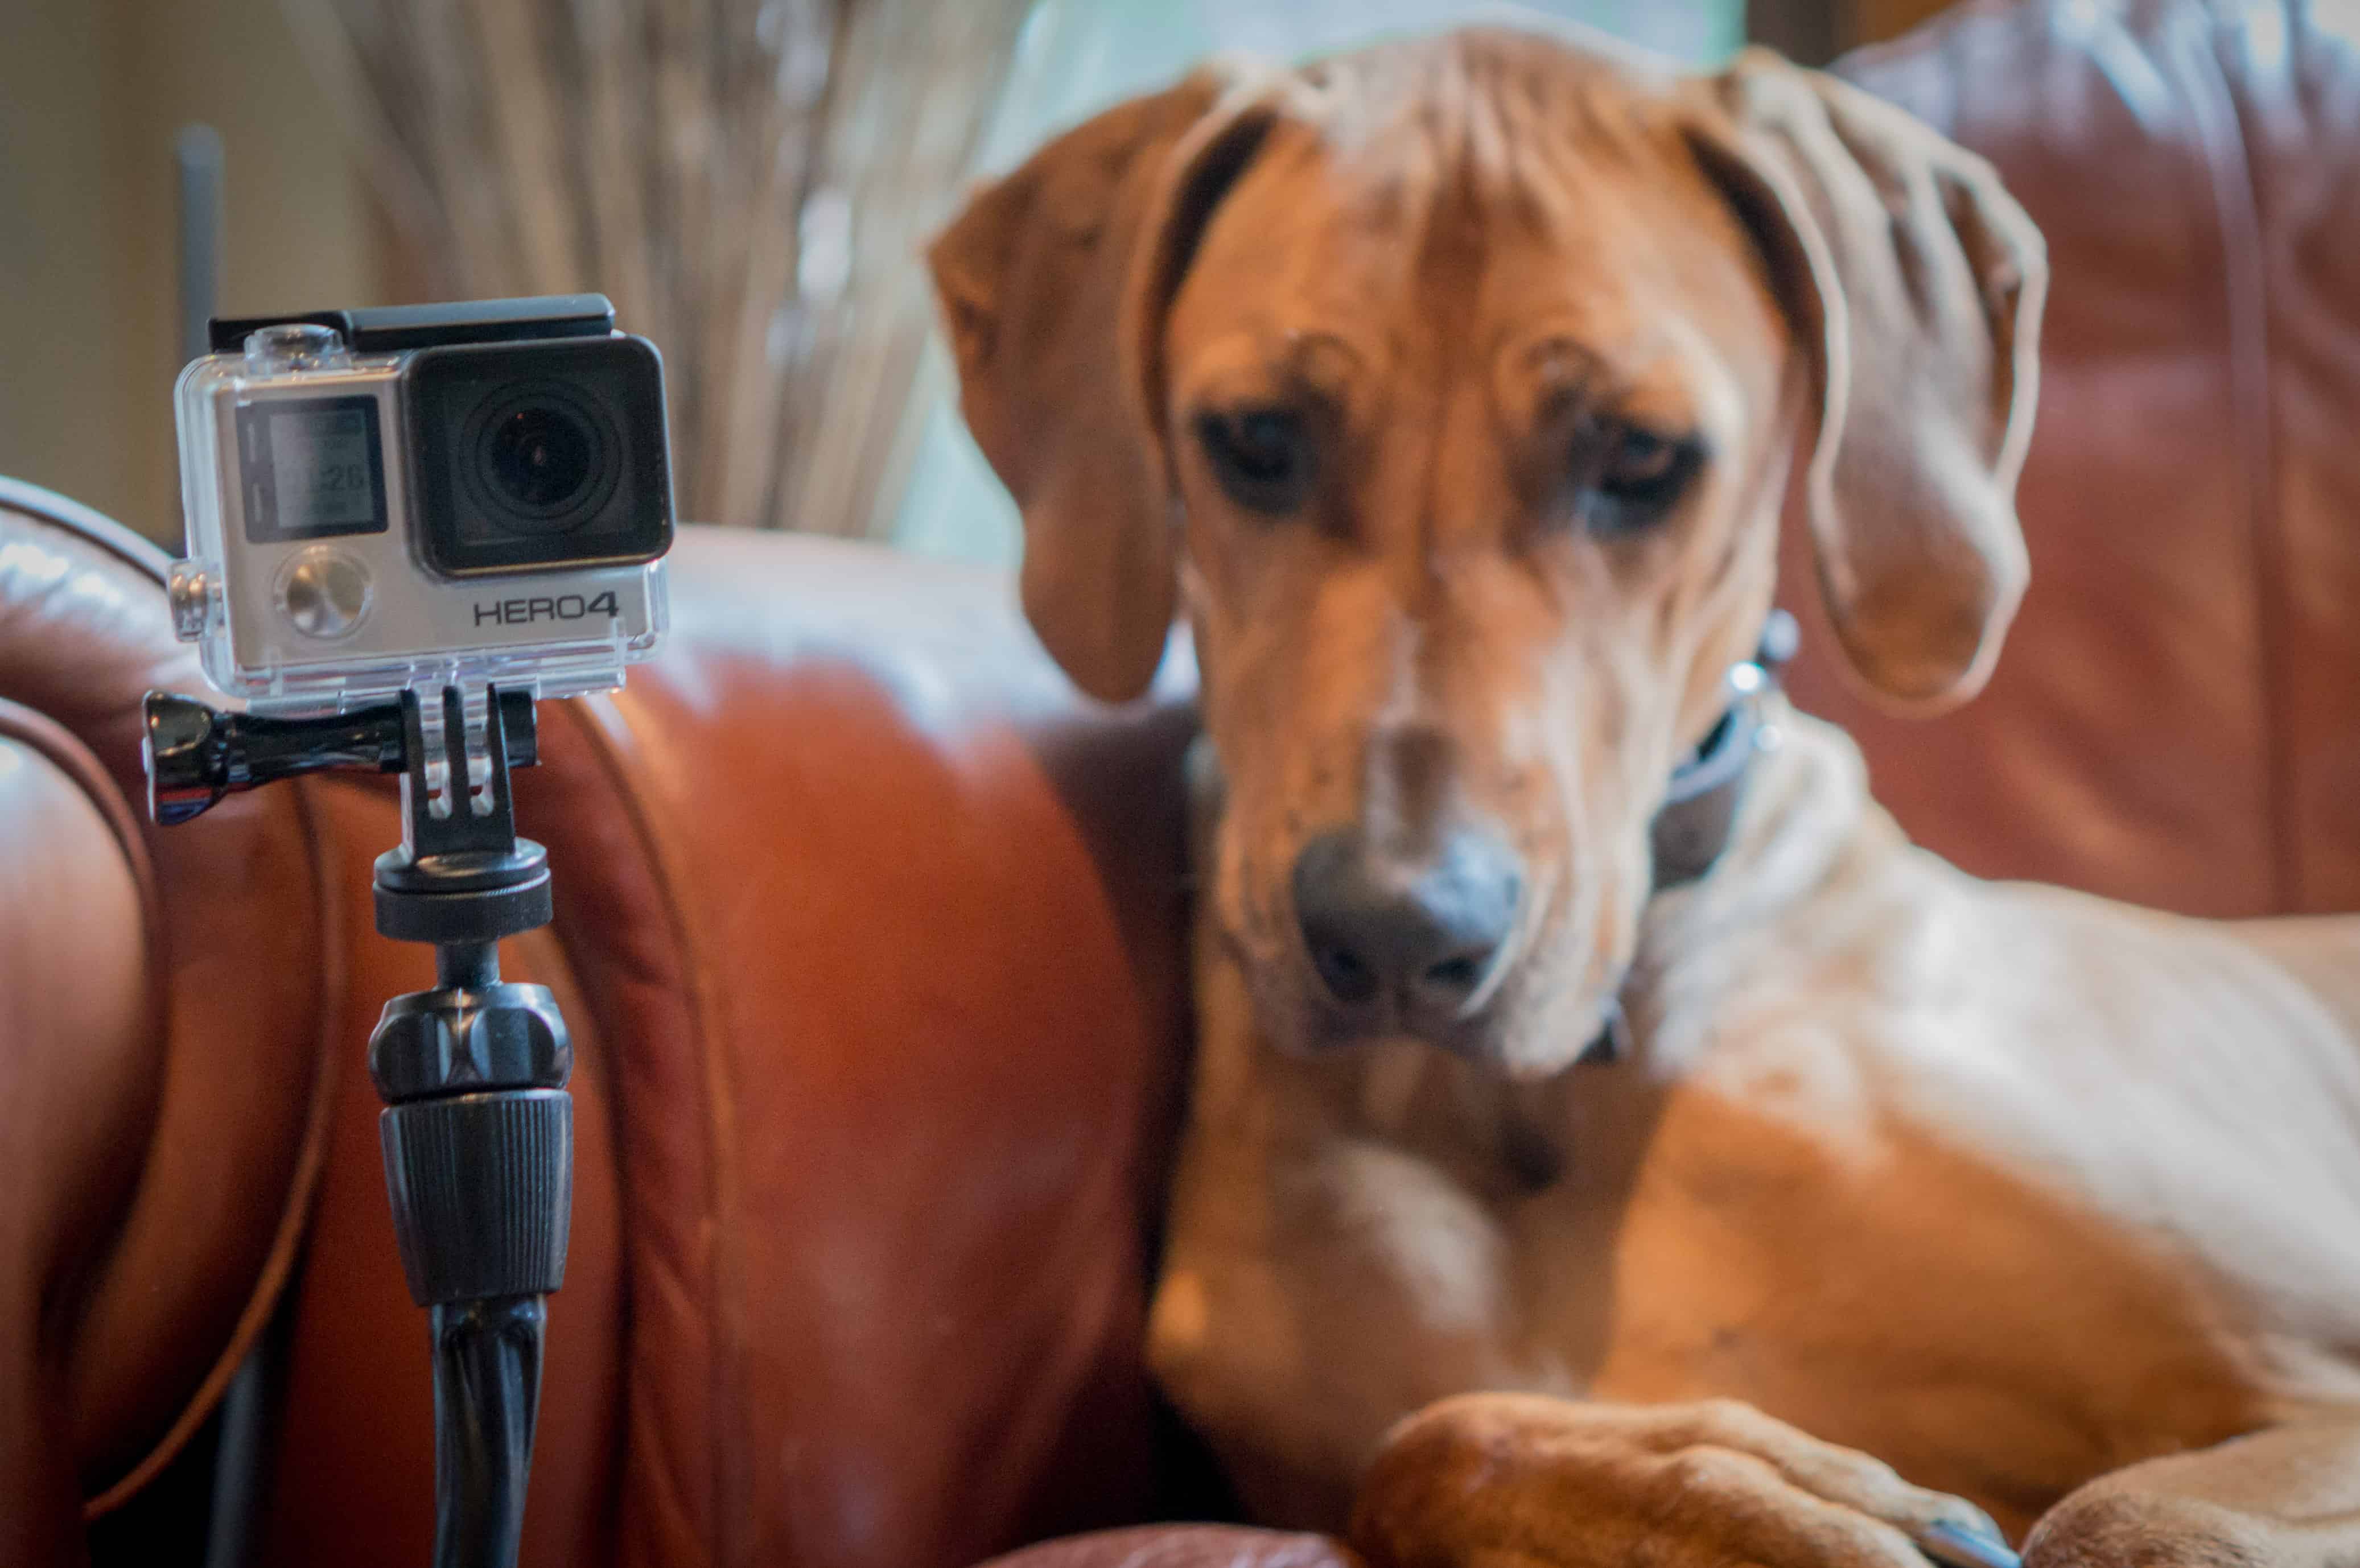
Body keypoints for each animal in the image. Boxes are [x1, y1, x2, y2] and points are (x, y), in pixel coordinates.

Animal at [925, 24, 2360, 1565]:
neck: (1564, 1091)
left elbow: (2124, 1515)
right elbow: (1425, 1438)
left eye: (1639, 458)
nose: (1395, 935)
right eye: (1255, 438)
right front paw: (1750, 1492)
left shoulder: (2308, 1358)